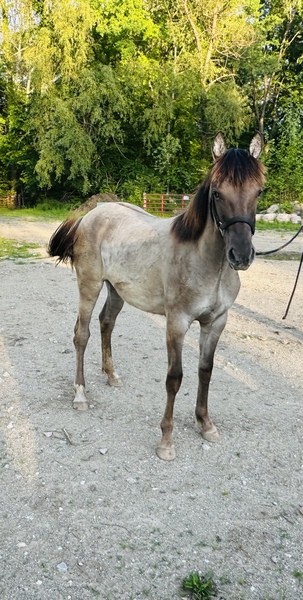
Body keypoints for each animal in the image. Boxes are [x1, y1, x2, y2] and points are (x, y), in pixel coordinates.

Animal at [48, 132, 266, 460]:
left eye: (259, 191)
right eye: (217, 193)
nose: (240, 255)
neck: (206, 263)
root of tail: (90, 215)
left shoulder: (216, 322)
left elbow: (206, 370)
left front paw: (205, 424)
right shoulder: (177, 322)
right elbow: (174, 378)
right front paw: (166, 440)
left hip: (116, 290)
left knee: (106, 323)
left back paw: (112, 375)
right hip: (90, 285)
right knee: (81, 334)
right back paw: (80, 395)